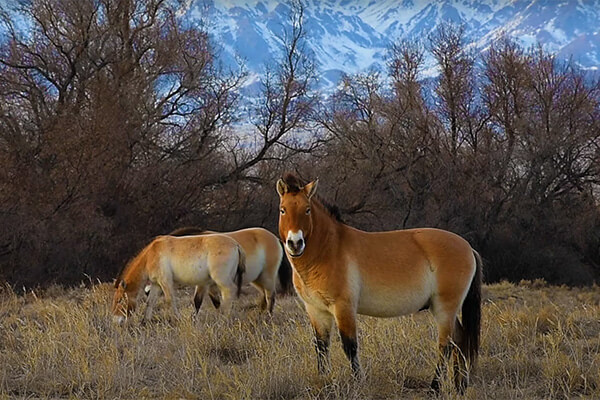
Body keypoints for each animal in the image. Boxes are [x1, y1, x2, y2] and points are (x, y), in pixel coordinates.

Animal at [111, 234, 245, 324]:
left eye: (119, 300)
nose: (116, 320)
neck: (151, 254)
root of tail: (236, 245)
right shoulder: (156, 284)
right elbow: (150, 302)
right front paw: (144, 321)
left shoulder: (165, 282)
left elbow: (170, 300)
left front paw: (177, 320)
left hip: (222, 280)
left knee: (228, 292)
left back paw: (224, 319)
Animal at [276, 173, 482, 392]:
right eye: (283, 209)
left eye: (307, 209)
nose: (295, 243)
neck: (328, 248)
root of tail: (468, 247)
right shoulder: (316, 310)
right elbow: (321, 347)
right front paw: (325, 381)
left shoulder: (343, 307)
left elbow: (350, 346)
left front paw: (359, 382)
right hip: (444, 309)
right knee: (459, 339)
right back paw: (460, 386)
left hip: (445, 308)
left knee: (446, 344)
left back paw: (435, 387)